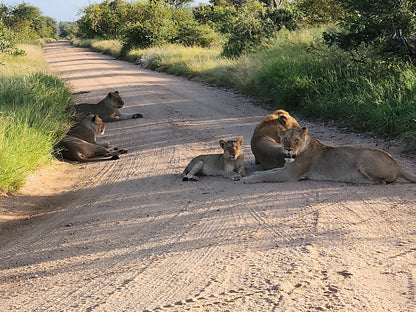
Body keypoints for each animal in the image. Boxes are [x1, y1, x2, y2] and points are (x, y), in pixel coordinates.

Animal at [242, 127, 416, 184]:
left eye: (296, 140)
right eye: (285, 140)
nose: (289, 149)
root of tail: (397, 165)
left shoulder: (290, 175)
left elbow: (266, 175)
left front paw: (247, 179)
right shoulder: (285, 169)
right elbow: (269, 171)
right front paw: (255, 173)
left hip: (364, 157)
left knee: (381, 182)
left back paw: (356, 180)